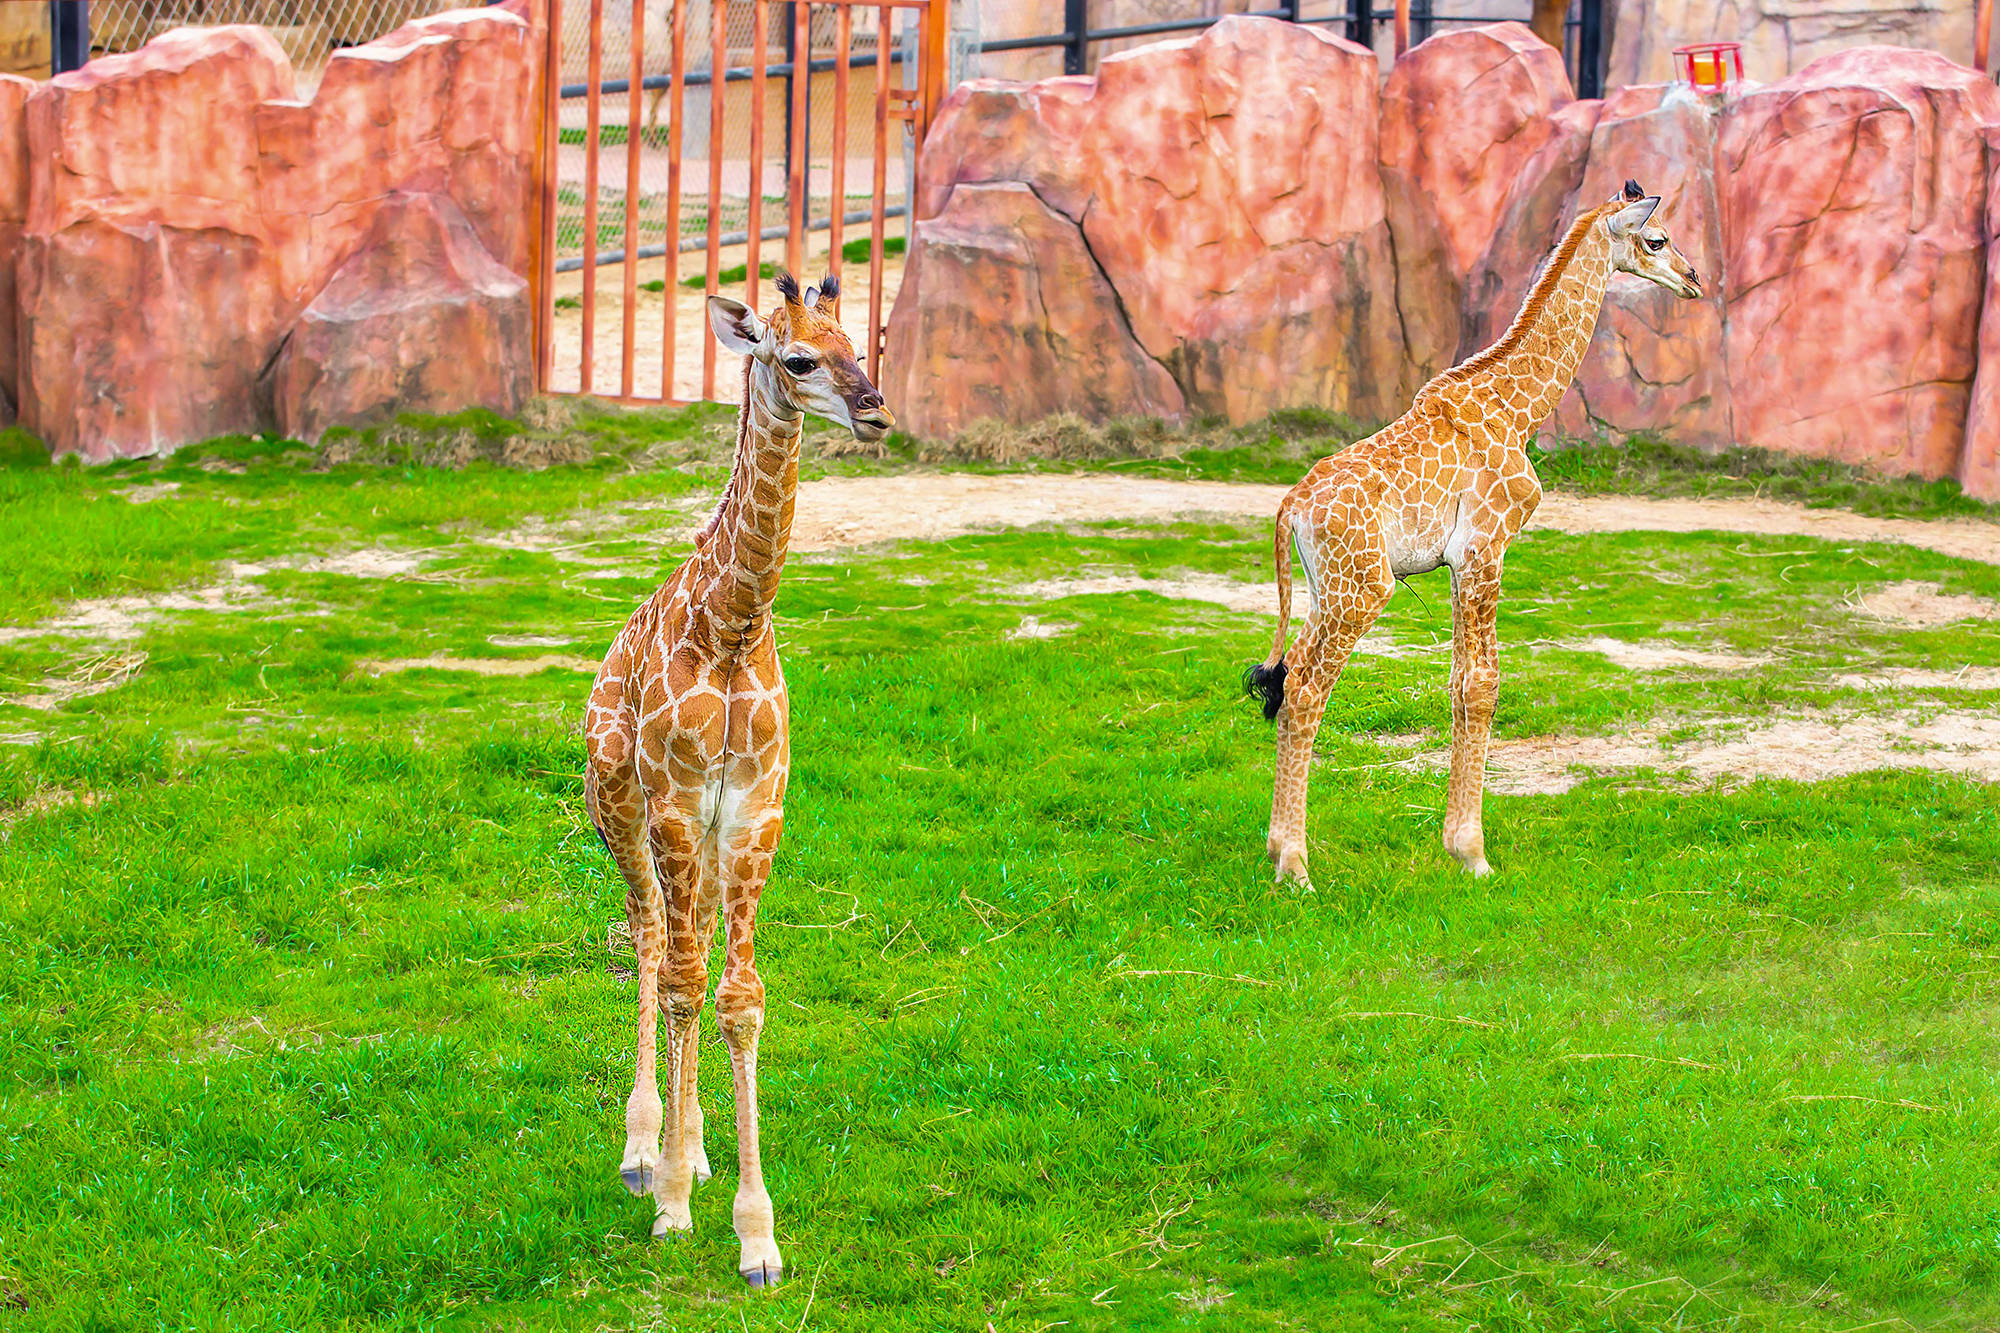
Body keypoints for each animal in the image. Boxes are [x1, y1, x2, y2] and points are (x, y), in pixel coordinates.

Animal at [580, 268, 892, 1280]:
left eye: (855, 344)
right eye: (796, 359)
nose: (875, 411)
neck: (731, 625)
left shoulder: (754, 812)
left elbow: (739, 999)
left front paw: (757, 1232)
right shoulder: (678, 806)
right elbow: (683, 983)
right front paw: (673, 1201)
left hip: (708, 848)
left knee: (694, 947)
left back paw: (698, 1143)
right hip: (621, 811)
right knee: (651, 940)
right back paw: (646, 1150)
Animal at [1240, 176, 1696, 880]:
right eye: (1657, 239)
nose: (1693, 279)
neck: (1522, 409)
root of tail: (1292, 506)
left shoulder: (1460, 562)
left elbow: (1457, 685)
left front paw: (1455, 846)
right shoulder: (1487, 546)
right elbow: (1482, 687)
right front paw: (1473, 855)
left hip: (1325, 589)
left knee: (1289, 683)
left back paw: (1275, 849)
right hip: (1364, 588)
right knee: (1310, 690)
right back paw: (1296, 867)